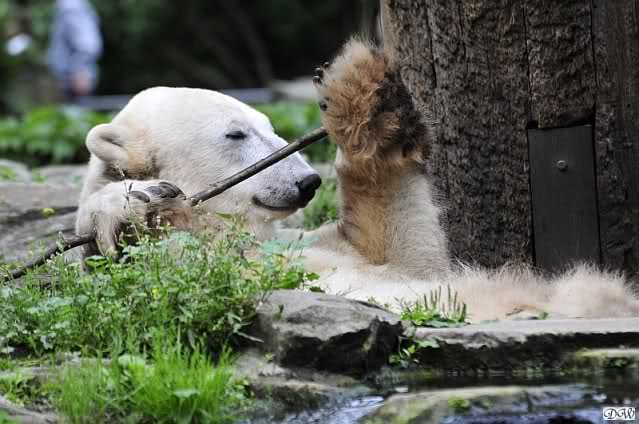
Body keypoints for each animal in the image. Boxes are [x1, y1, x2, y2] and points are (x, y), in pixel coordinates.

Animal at [76, 39, 639, 322]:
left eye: (271, 126)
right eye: (236, 133)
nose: (307, 183)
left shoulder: (305, 244)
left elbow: (403, 251)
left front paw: (366, 95)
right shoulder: (192, 274)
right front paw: (137, 200)